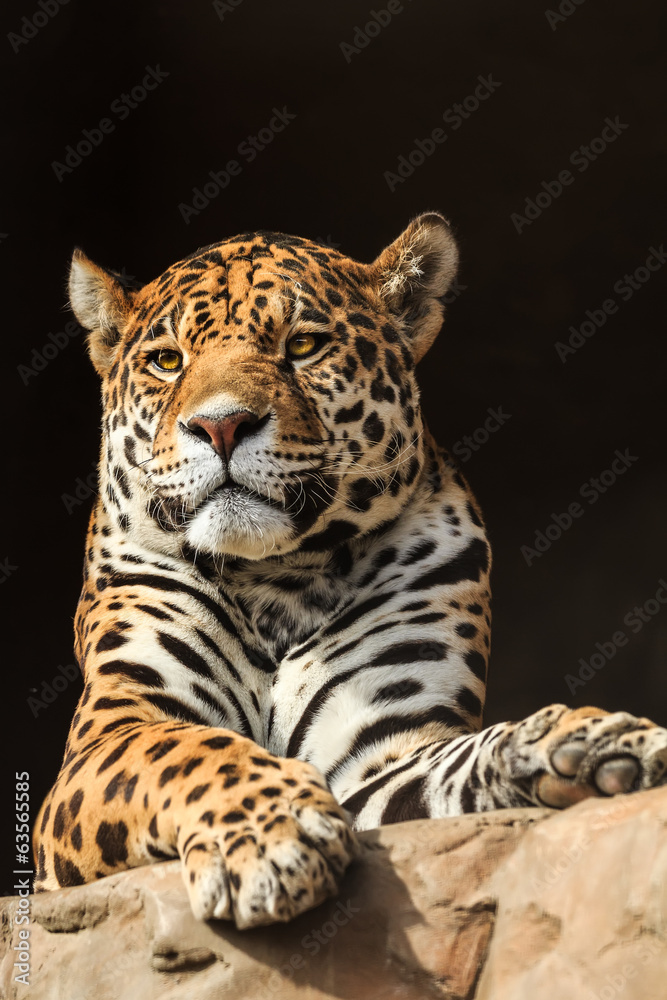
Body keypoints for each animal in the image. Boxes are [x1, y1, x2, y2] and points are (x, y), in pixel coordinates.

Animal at [34, 213, 667, 929]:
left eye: (304, 346)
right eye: (167, 361)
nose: (221, 425)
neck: (278, 578)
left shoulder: (379, 755)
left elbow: (457, 761)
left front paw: (588, 747)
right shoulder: (115, 728)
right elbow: (189, 749)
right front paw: (272, 836)